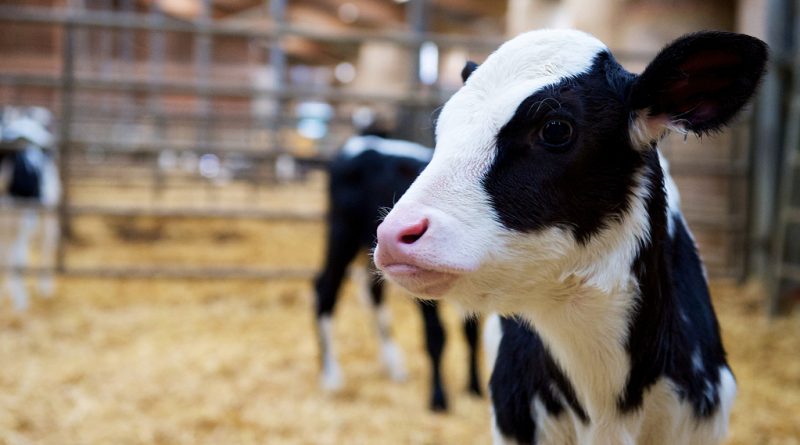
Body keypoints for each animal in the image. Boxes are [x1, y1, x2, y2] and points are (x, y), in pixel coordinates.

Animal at [0, 107, 60, 308]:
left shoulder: (24, 223)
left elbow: (19, 260)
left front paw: (20, 302)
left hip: (49, 212)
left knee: (45, 246)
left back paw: (45, 287)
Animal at [316, 132, 482, 410]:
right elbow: (436, 334)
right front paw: (438, 399)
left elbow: (471, 333)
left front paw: (475, 389)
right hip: (341, 231)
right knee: (325, 288)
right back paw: (331, 375)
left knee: (373, 293)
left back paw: (394, 366)